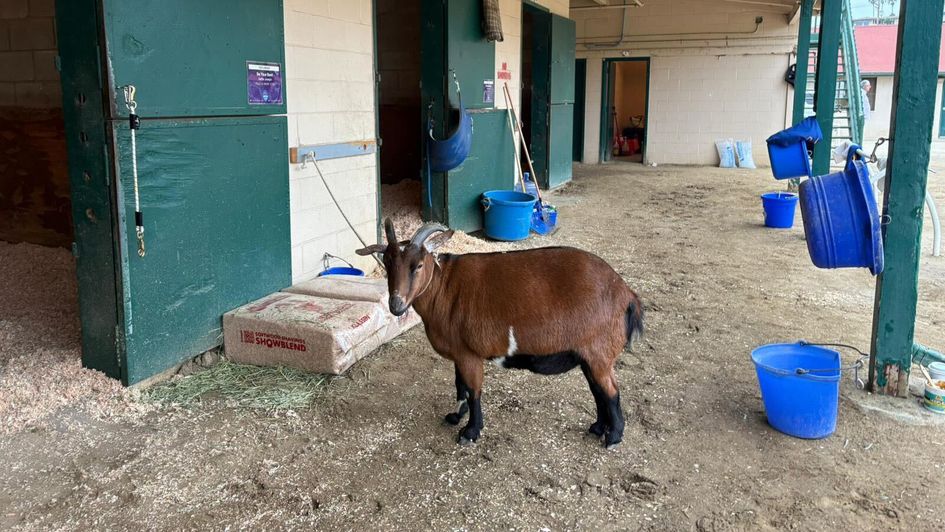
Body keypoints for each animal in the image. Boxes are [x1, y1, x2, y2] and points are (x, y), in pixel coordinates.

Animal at [357, 219, 644, 448]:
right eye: (387, 264)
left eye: (417, 265)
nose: (396, 305)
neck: (443, 288)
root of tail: (626, 294)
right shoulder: (459, 352)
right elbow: (460, 386)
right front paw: (455, 417)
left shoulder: (470, 354)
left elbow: (473, 391)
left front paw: (470, 433)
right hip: (589, 355)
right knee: (598, 390)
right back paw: (598, 428)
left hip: (599, 352)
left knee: (610, 391)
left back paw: (613, 437)